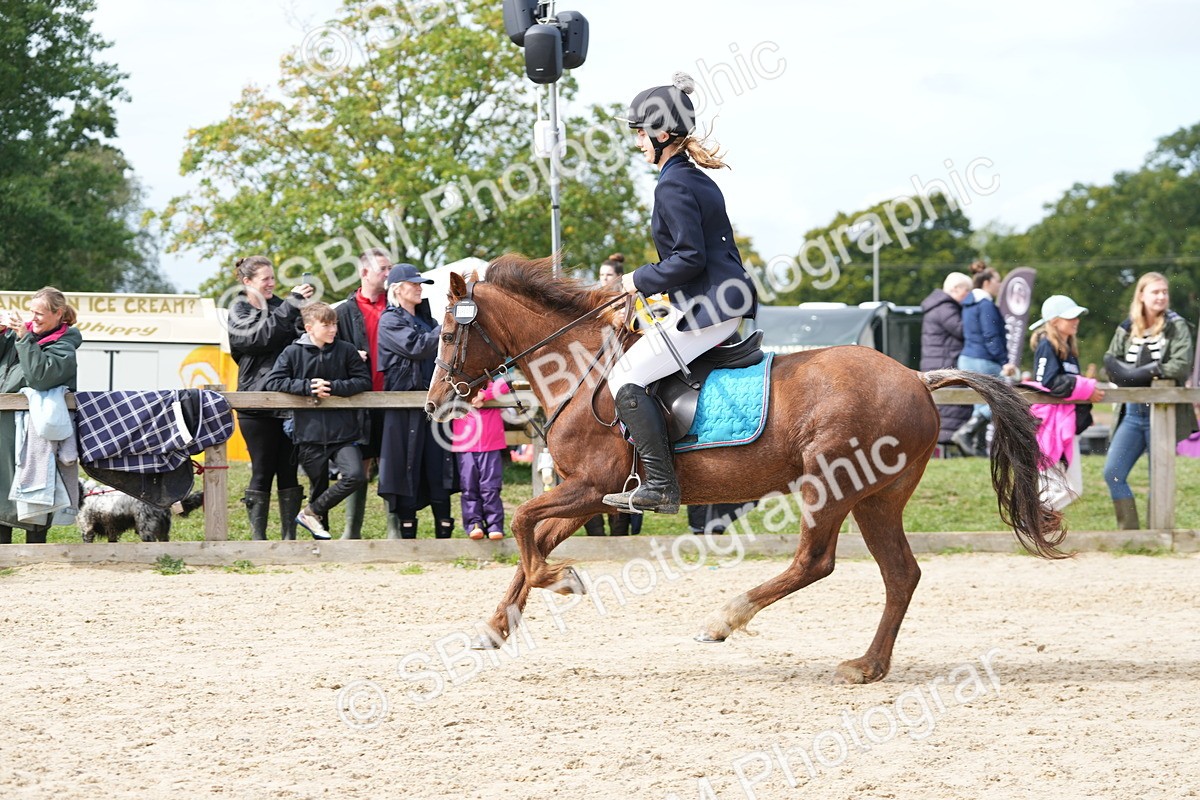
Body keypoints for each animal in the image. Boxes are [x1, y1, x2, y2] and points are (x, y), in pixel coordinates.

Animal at [425, 255, 1064, 684]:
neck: (579, 370)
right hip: (875, 497)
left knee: (816, 561)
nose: (433, 405)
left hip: (830, 483)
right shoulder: (589, 496)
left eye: (451, 333)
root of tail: (918, 378)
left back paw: (725, 618)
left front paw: (563, 580)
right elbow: (532, 540)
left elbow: (523, 527)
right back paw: (868, 665)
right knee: (901, 574)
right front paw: (497, 626)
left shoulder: (592, 487)